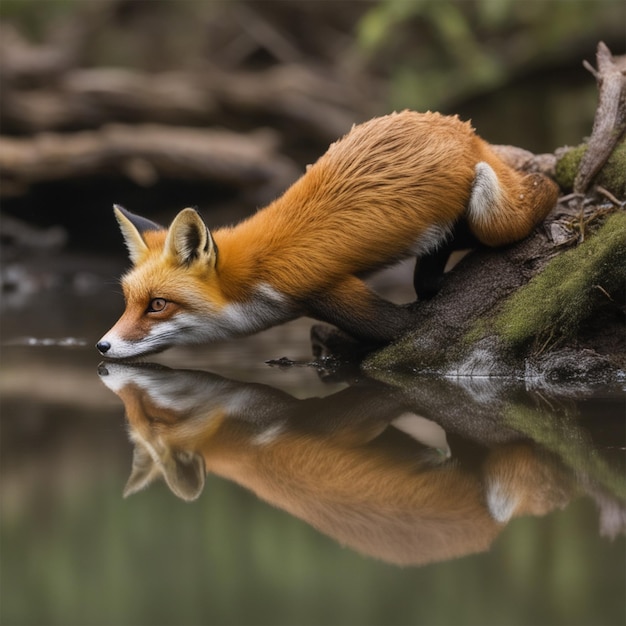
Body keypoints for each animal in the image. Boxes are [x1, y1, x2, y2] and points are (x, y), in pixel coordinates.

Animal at [97, 109, 556, 358]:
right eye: (128, 302)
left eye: (158, 305)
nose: (102, 346)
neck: (253, 280)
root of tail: (462, 129)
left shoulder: (326, 290)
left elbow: (397, 330)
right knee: (430, 269)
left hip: (493, 214)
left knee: (534, 195)